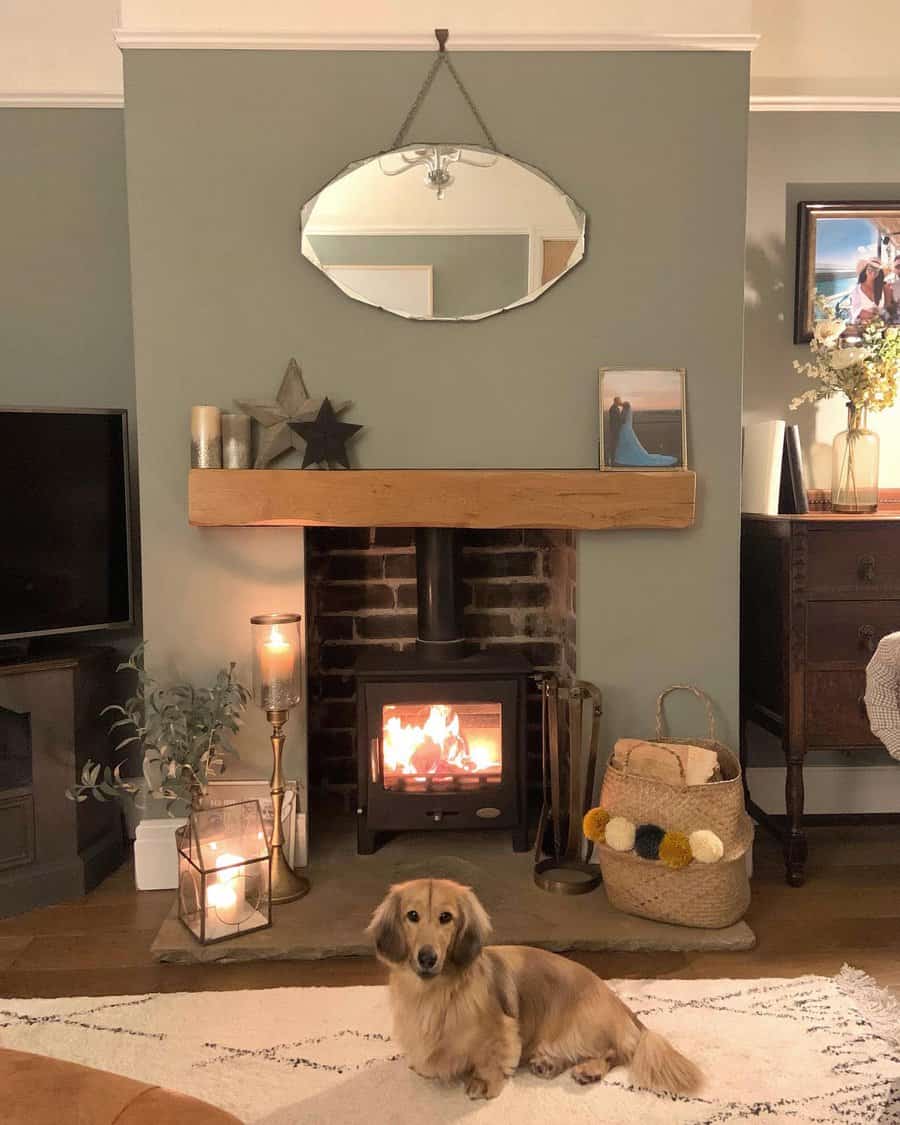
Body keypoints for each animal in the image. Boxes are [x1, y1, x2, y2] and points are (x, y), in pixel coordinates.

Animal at [366, 877, 702, 1098]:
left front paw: (482, 1084)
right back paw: (547, 1065)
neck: (435, 993)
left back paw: (588, 1069)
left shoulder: (500, 1031)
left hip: (580, 1026)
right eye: (412, 916)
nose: (427, 958)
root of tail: (621, 1006)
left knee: (617, 1052)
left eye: (445, 917)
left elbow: (489, 1060)